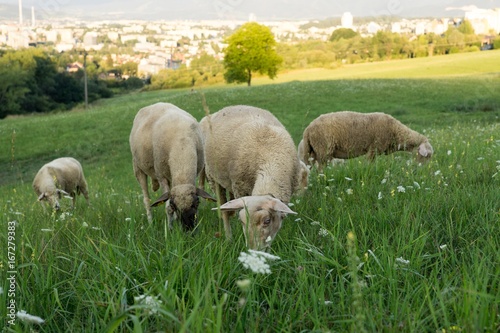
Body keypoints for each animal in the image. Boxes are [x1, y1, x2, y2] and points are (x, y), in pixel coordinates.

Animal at [129, 102, 215, 230]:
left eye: (197, 203)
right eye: (174, 206)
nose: (188, 229)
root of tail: (153, 104)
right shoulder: (161, 176)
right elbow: (167, 208)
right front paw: (170, 229)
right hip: (138, 168)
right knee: (146, 199)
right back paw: (150, 223)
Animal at [203, 105, 304, 248]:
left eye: (267, 221)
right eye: (242, 221)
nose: (252, 250)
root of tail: (231, 106)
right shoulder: (241, 188)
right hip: (213, 178)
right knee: (224, 212)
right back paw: (229, 238)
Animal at [300, 111, 434, 169]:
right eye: (427, 156)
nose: (424, 170)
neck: (396, 131)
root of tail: (307, 129)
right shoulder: (374, 148)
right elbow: (370, 163)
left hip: (313, 152)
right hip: (323, 149)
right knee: (321, 169)